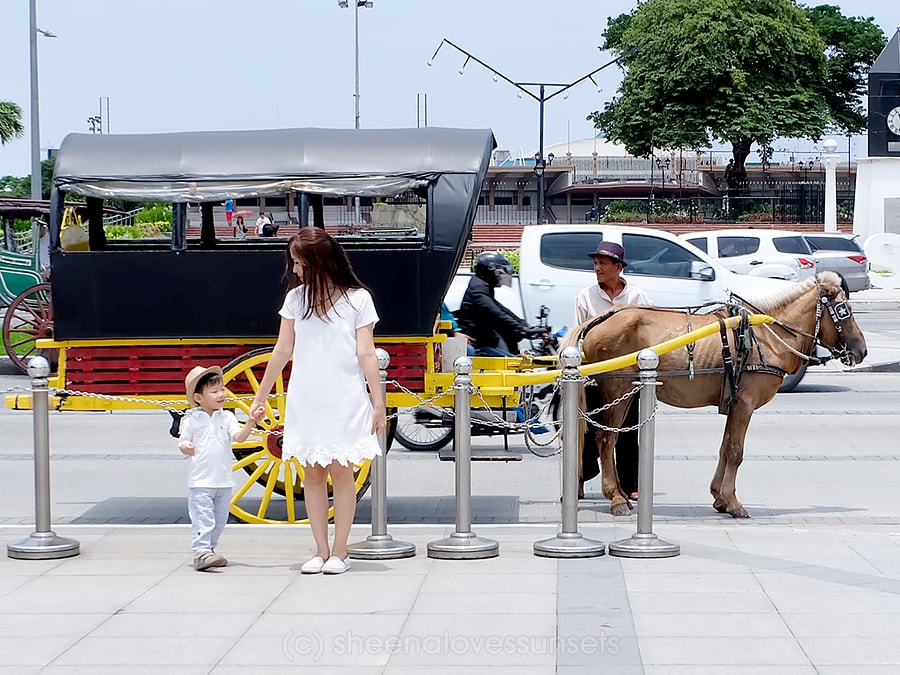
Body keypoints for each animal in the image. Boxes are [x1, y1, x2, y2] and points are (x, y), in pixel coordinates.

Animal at [568, 272, 868, 520]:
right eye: (844, 310)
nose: (862, 350)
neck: (765, 335)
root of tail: (596, 320)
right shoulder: (745, 404)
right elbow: (736, 451)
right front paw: (733, 502)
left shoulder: (734, 403)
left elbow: (725, 448)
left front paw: (719, 497)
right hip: (617, 388)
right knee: (606, 439)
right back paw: (616, 498)